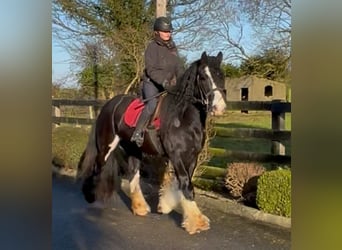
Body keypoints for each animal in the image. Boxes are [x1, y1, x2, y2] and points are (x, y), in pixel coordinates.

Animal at [77, 51, 227, 234]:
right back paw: (91, 196)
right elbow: (186, 184)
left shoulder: (192, 156)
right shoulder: (176, 155)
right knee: (97, 166)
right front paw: (196, 222)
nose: (219, 108)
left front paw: (166, 205)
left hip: (133, 149)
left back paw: (140, 207)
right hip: (107, 147)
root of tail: (109, 105)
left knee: (133, 173)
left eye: (221, 75)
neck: (183, 118)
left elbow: (183, 183)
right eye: (204, 77)